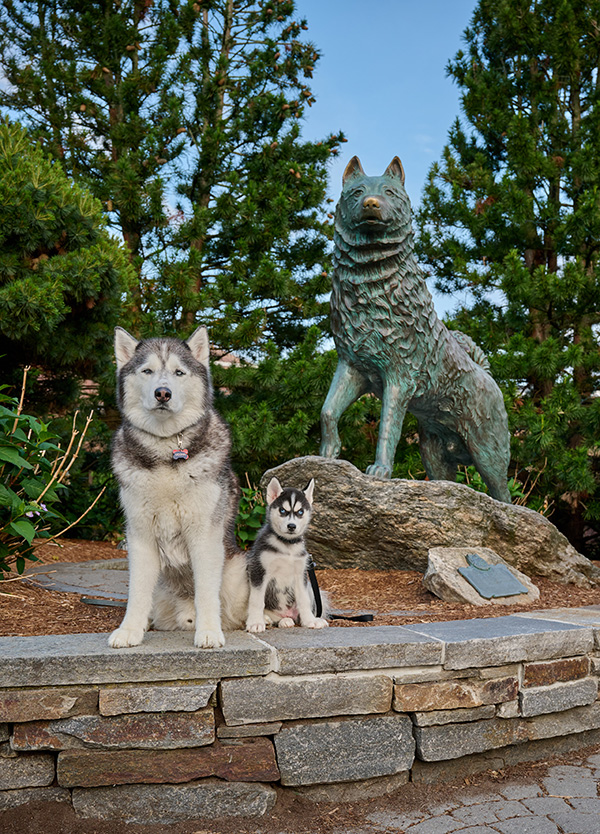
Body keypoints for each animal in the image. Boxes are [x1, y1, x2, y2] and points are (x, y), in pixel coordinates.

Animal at [108, 322, 241, 648]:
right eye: (147, 371)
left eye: (179, 372)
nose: (163, 393)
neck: (166, 451)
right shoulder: (139, 535)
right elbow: (136, 592)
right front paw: (130, 630)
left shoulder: (205, 534)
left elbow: (206, 591)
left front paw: (209, 631)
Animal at [244, 474, 328, 632]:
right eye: (282, 511)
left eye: (300, 512)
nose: (291, 526)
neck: (287, 547)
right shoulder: (259, 570)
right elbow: (256, 600)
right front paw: (255, 622)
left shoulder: (301, 574)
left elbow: (304, 600)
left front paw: (309, 620)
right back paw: (272, 620)